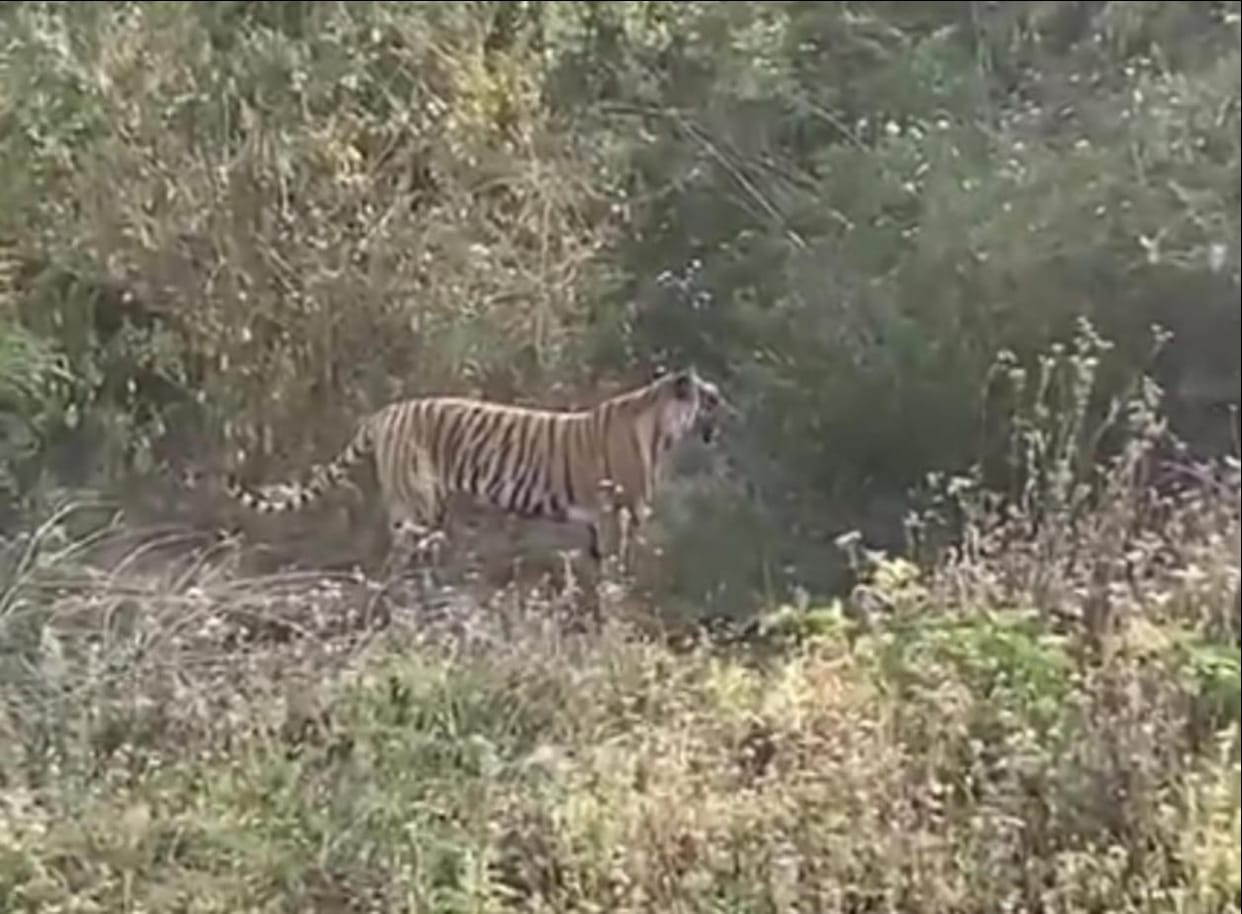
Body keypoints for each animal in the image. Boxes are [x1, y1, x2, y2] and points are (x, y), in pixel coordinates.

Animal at [223, 366, 730, 574]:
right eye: (711, 397)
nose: (729, 407)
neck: (661, 427)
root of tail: (383, 413)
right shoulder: (616, 516)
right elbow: (619, 571)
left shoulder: (599, 525)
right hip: (417, 500)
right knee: (398, 555)